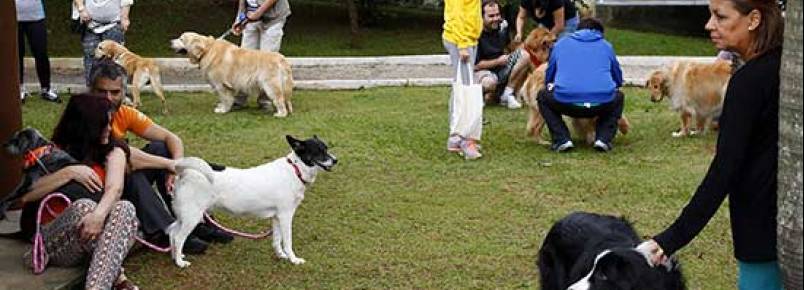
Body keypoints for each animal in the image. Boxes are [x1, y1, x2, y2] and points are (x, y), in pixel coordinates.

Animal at [168, 135, 334, 268]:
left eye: (326, 148)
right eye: (319, 151)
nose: (336, 160)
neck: (295, 170)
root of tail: (186, 173)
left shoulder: (277, 217)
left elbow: (277, 240)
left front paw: (281, 255)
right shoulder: (286, 216)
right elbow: (287, 242)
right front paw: (293, 259)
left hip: (184, 217)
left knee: (172, 233)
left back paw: (176, 257)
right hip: (192, 217)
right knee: (178, 237)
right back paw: (180, 263)